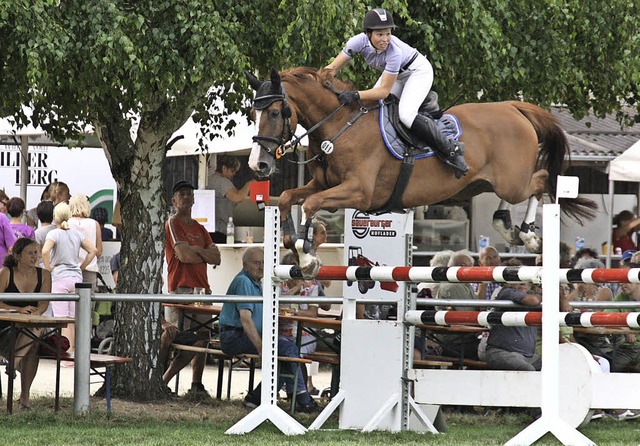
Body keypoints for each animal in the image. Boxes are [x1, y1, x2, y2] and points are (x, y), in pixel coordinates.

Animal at [246, 68, 596, 274]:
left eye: (275, 113)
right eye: (253, 114)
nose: (258, 165)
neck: (340, 126)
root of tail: (513, 106)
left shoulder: (359, 192)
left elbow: (310, 204)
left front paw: (307, 256)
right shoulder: (322, 184)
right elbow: (289, 197)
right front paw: (295, 247)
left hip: (512, 181)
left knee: (541, 182)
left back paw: (528, 236)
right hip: (480, 183)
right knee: (511, 196)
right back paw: (507, 227)